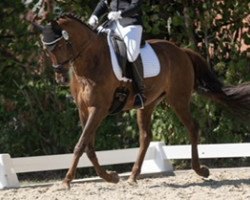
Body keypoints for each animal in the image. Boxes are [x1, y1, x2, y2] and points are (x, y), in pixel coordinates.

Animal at [32, 14, 250, 189]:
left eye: (60, 45)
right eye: (46, 49)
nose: (60, 77)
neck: (89, 63)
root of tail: (181, 51)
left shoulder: (99, 109)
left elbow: (81, 144)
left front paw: (66, 181)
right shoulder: (84, 110)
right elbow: (88, 146)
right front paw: (111, 177)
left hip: (178, 99)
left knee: (192, 127)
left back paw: (200, 170)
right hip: (147, 103)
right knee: (146, 137)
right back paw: (133, 176)